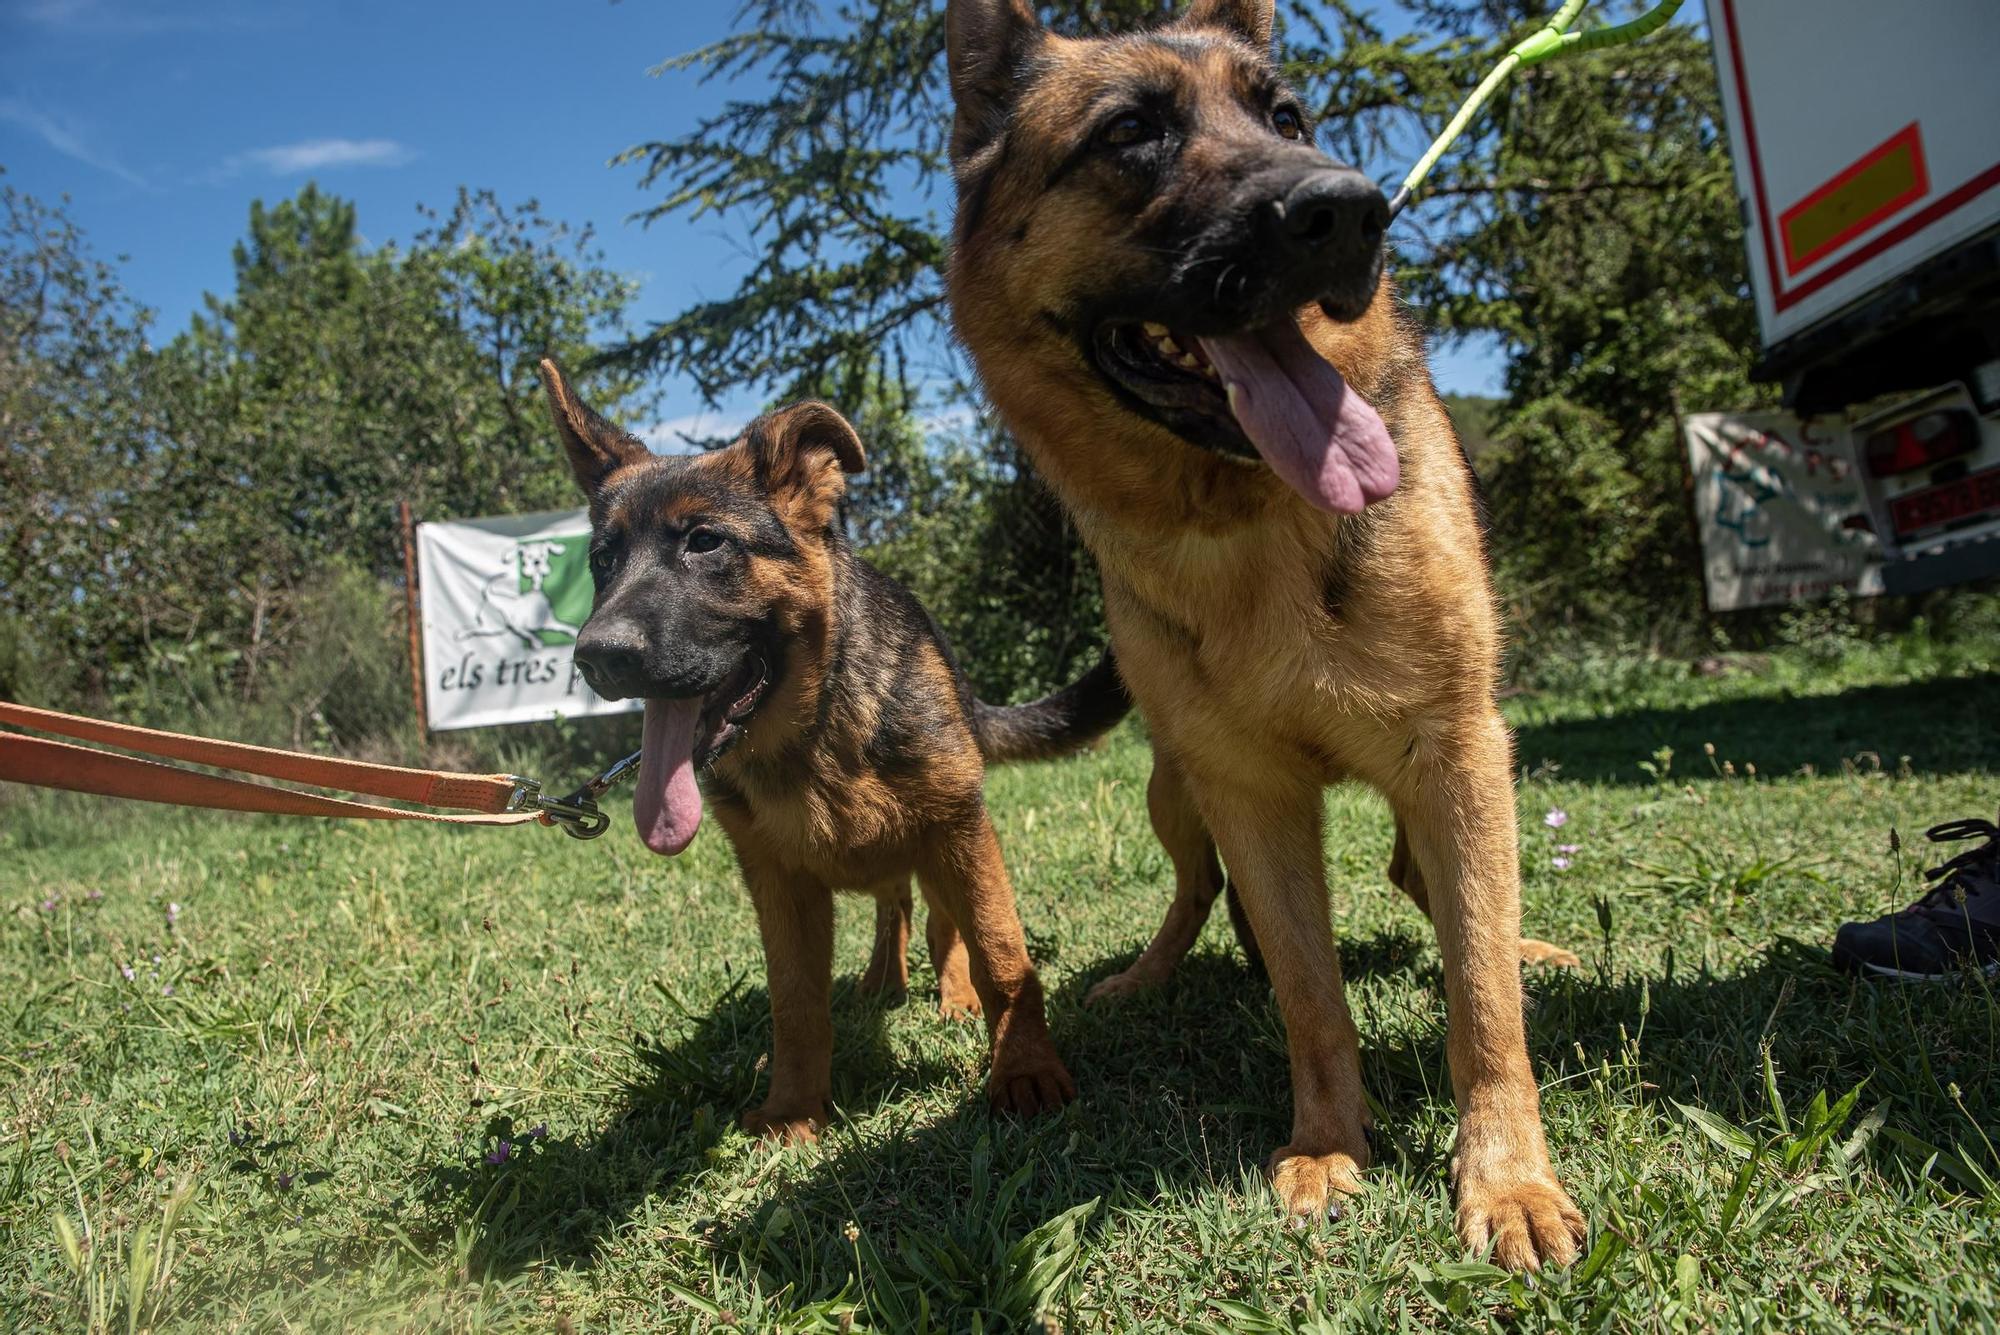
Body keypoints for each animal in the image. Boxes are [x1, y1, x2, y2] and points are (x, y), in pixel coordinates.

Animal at [540, 361, 1128, 1135]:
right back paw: (882, 979)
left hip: (941, 838)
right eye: (604, 561)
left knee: (939, 918)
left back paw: (952, 994)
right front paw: (793, 1109)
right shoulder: (779, 882)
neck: (814, 732)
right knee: (893, 905)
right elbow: (795, 1002)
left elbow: (1002, 955)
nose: (598, 657)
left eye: (704, 541)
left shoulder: (959, 827)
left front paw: (1023, 1069)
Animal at [944, 0, 1584, 1271]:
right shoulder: (1249, 795)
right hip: (1175, 794)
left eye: (1285, 116)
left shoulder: (1455, 753)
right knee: (1195, 895)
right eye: (1128, 132)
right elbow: (1306, 992)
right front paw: (1328, 1147)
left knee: (1440, 896)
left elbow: (1480, 996)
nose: (1346, 209)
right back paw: (1145, 976)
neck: (1249, 519)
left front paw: (1507, 1181)